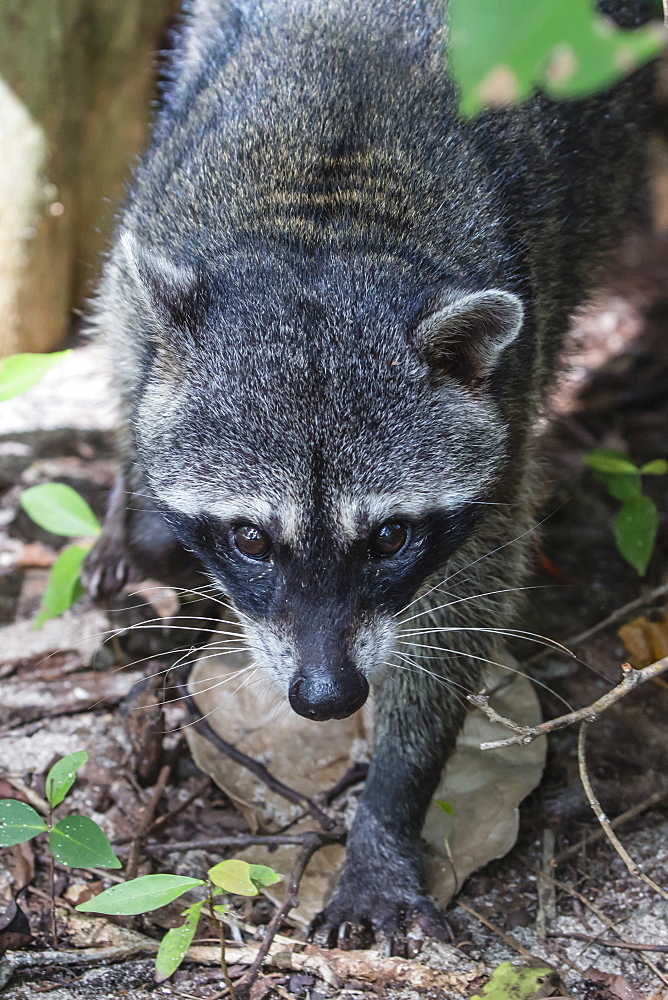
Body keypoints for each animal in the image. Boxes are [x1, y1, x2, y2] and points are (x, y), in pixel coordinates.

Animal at [83, 0, 652, 948]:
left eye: (388, 537)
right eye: (250, 538)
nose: (325, 697)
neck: (328, 223)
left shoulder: (509, 397)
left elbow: (456, 620)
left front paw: (390, 808)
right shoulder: (148, 247)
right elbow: (128, 356)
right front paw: (140, 502)